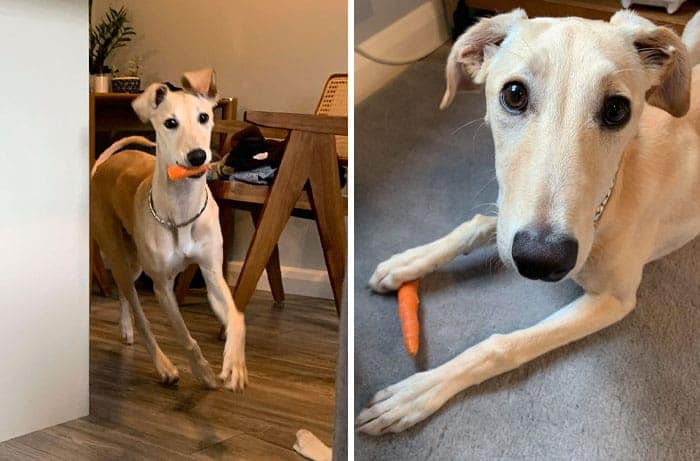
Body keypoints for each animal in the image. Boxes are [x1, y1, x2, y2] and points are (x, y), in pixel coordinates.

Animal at [91, 69, 247, 391]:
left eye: (204, 117)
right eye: (170, 123)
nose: (198, 156)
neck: (182, 211)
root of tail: (103, 166)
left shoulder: (212, 273)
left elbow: (237, 318)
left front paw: (235, 365)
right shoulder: (163, 287)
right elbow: (185, 336)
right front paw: (202, 371)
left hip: (134, 262)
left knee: (126, 294)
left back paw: (126, 329)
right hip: (118, 253)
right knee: (140, 314)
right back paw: (163, 365)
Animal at [357, 10, 700, 434]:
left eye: (617, 109)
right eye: (515, 94)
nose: (541, 260)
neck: (614, 196)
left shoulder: (613, 299)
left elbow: (501, 345)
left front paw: (417, 392)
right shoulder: (512, 218)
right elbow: (475, 224)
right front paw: (406, 263)